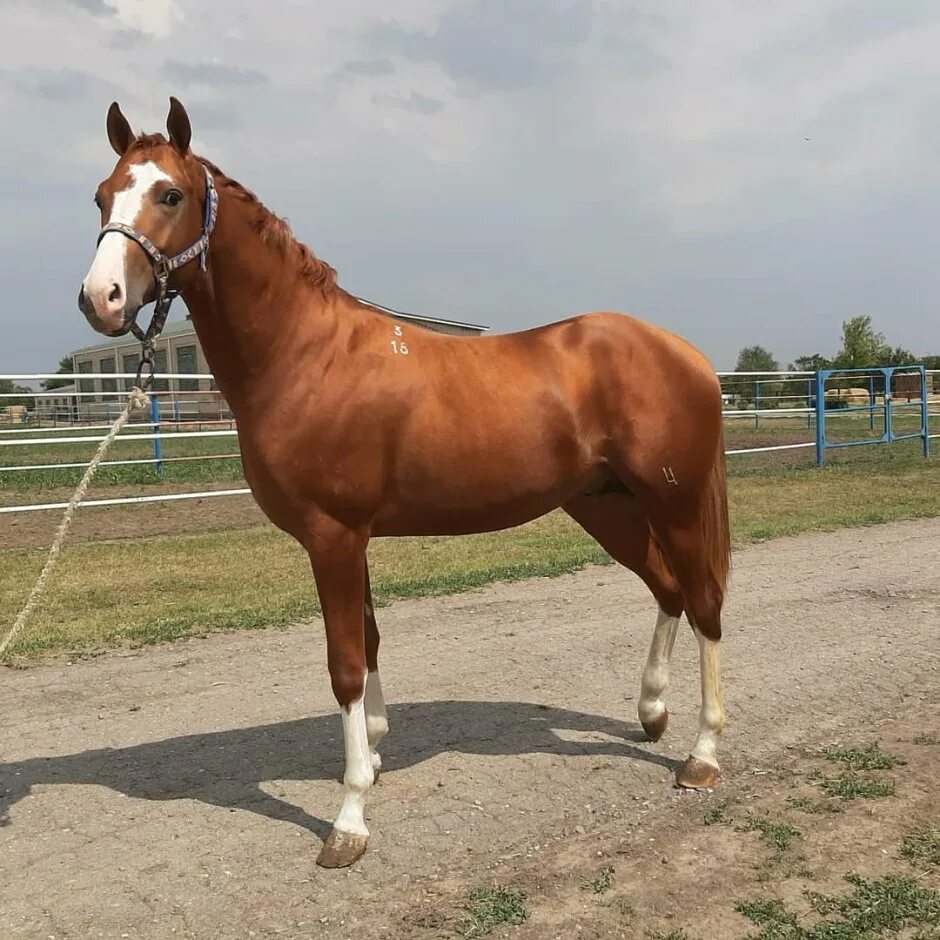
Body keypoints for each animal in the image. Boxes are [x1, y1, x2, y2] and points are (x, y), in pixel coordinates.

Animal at [77, 99, 732, 872]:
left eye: (170, 195)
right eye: (101, 195)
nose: (101, 298)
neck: (305, 354)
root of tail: (686, 353)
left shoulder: (332, 537)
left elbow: (344, 665)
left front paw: (349, 819)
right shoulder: (348, 538)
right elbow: (368, 643)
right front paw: (377, 752)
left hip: (673, 502)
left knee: (704, 603)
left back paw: (701, 754)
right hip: (608, 507)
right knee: (667, 590)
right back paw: (651, 712)